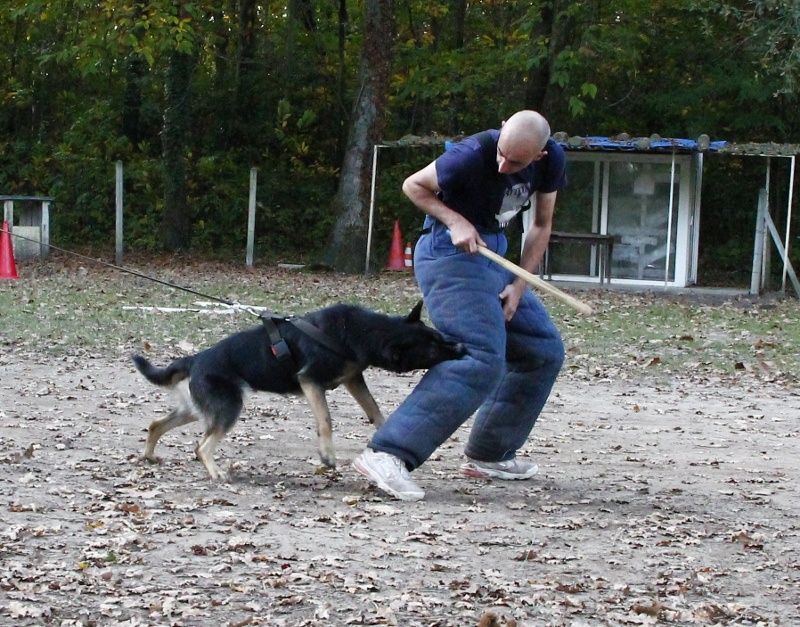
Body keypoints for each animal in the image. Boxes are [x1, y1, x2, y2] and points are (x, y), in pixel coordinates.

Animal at [132, 302, 466, 484]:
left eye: (438, 336)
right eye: (432, 349)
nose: (463, 346)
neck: (364, 332)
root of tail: (197, 358)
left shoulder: (353, 378)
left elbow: (375, 410)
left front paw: (388, 433)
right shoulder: (311, 381)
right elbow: (326, 420)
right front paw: (328, 456)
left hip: (198, 409)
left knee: (156, 424)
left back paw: (149, 456)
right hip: (228, 408)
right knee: (201, 447)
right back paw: (215, 472)